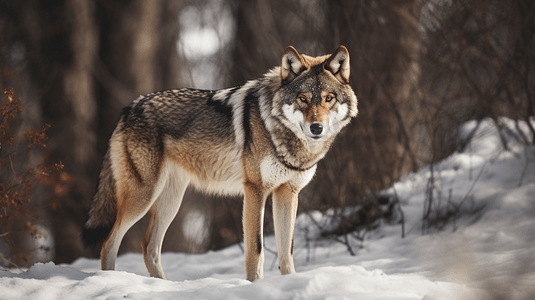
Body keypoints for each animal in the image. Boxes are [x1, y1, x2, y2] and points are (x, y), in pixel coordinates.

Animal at [82, 45, 360, 282]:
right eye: (303, 98)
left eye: (328, 98)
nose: (317, 128)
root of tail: (130, 106)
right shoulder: (255, 190)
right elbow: (256, 249)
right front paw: (255, 286)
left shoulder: (288, 192)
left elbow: (286, 252)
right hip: (143, 196)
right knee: (109, 243)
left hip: (171, 201)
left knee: (149, 245)